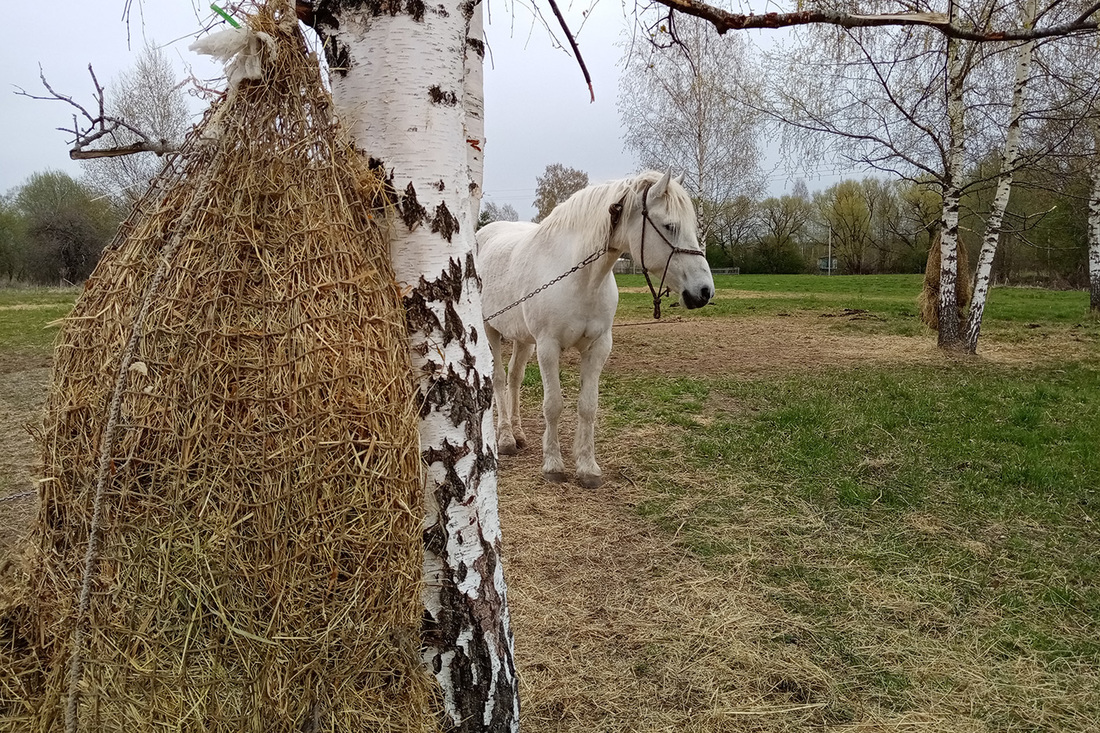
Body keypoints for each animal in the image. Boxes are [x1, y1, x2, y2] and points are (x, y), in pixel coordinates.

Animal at [477, 170, 717, 484]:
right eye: (669, 225)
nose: (704, 292)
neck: (580, 278)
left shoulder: (598, 347)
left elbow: (587, 407)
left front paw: (587, 467)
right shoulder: (548, 347)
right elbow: (553, 405)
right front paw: (553, 465)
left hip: (523, 339)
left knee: (514, 379)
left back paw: (517, 434)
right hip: (490, 331)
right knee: (498, 379)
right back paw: (505, 439)